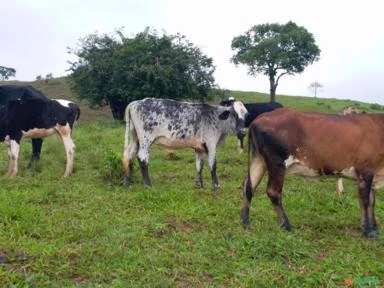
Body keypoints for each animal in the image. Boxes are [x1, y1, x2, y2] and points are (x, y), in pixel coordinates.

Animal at [243, 108, 384, 238]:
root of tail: (260, 117)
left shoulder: (374, 176)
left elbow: (372, 201)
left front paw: (375, 228)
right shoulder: (365, 171)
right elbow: (365, 201)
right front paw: (367, 230)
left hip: (259, 159)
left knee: (249, 186)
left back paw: (245, 223)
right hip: (277, 163)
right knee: (273, 192)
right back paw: (286, 225)